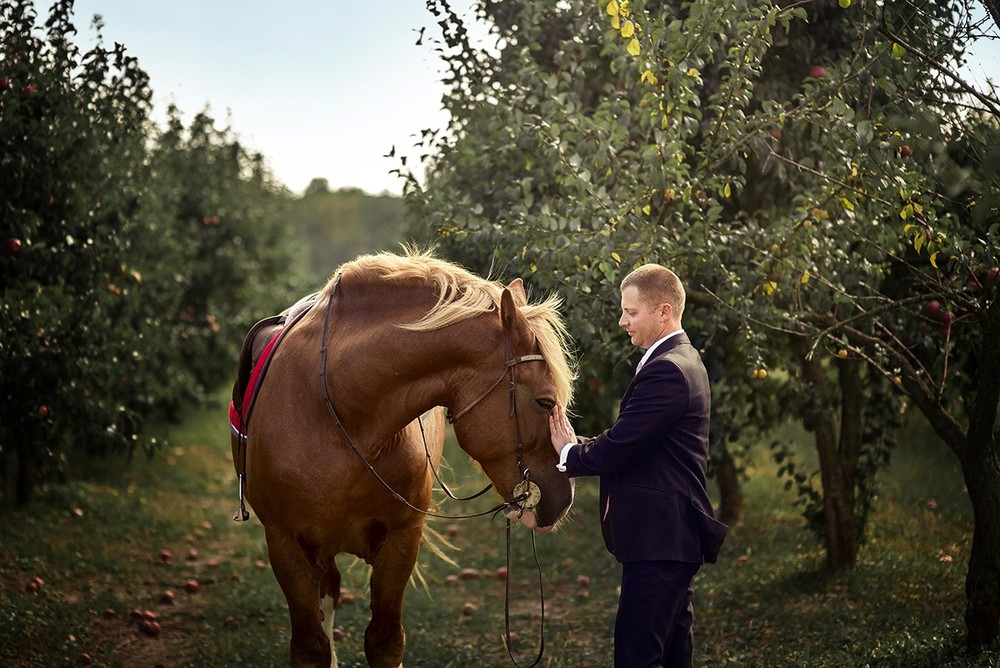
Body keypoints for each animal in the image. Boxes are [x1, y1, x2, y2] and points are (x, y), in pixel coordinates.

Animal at [230, 249, 576, 668]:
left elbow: (385, 640)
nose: (564, 497)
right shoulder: (284, 545)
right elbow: (311, 646)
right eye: (544, 402)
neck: (337, 414)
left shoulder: (401, 541)